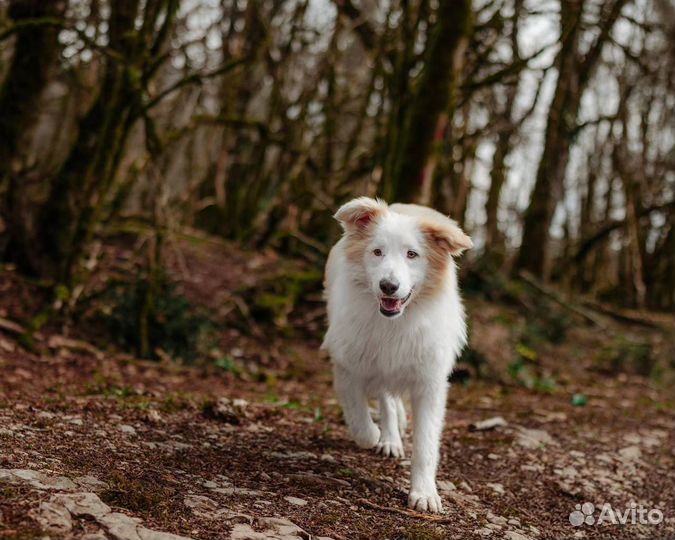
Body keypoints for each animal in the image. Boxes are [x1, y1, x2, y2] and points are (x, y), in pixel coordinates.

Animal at [320, 196, 470, 512]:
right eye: (377, 252)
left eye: (412, 254)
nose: (388, 286)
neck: (394, 323)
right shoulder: (347, 364)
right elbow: (359, 419)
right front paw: (374, 435)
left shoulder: (429, 383)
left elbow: (426, 445)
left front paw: (424, 494)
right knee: (385, 398)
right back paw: (388, 438)